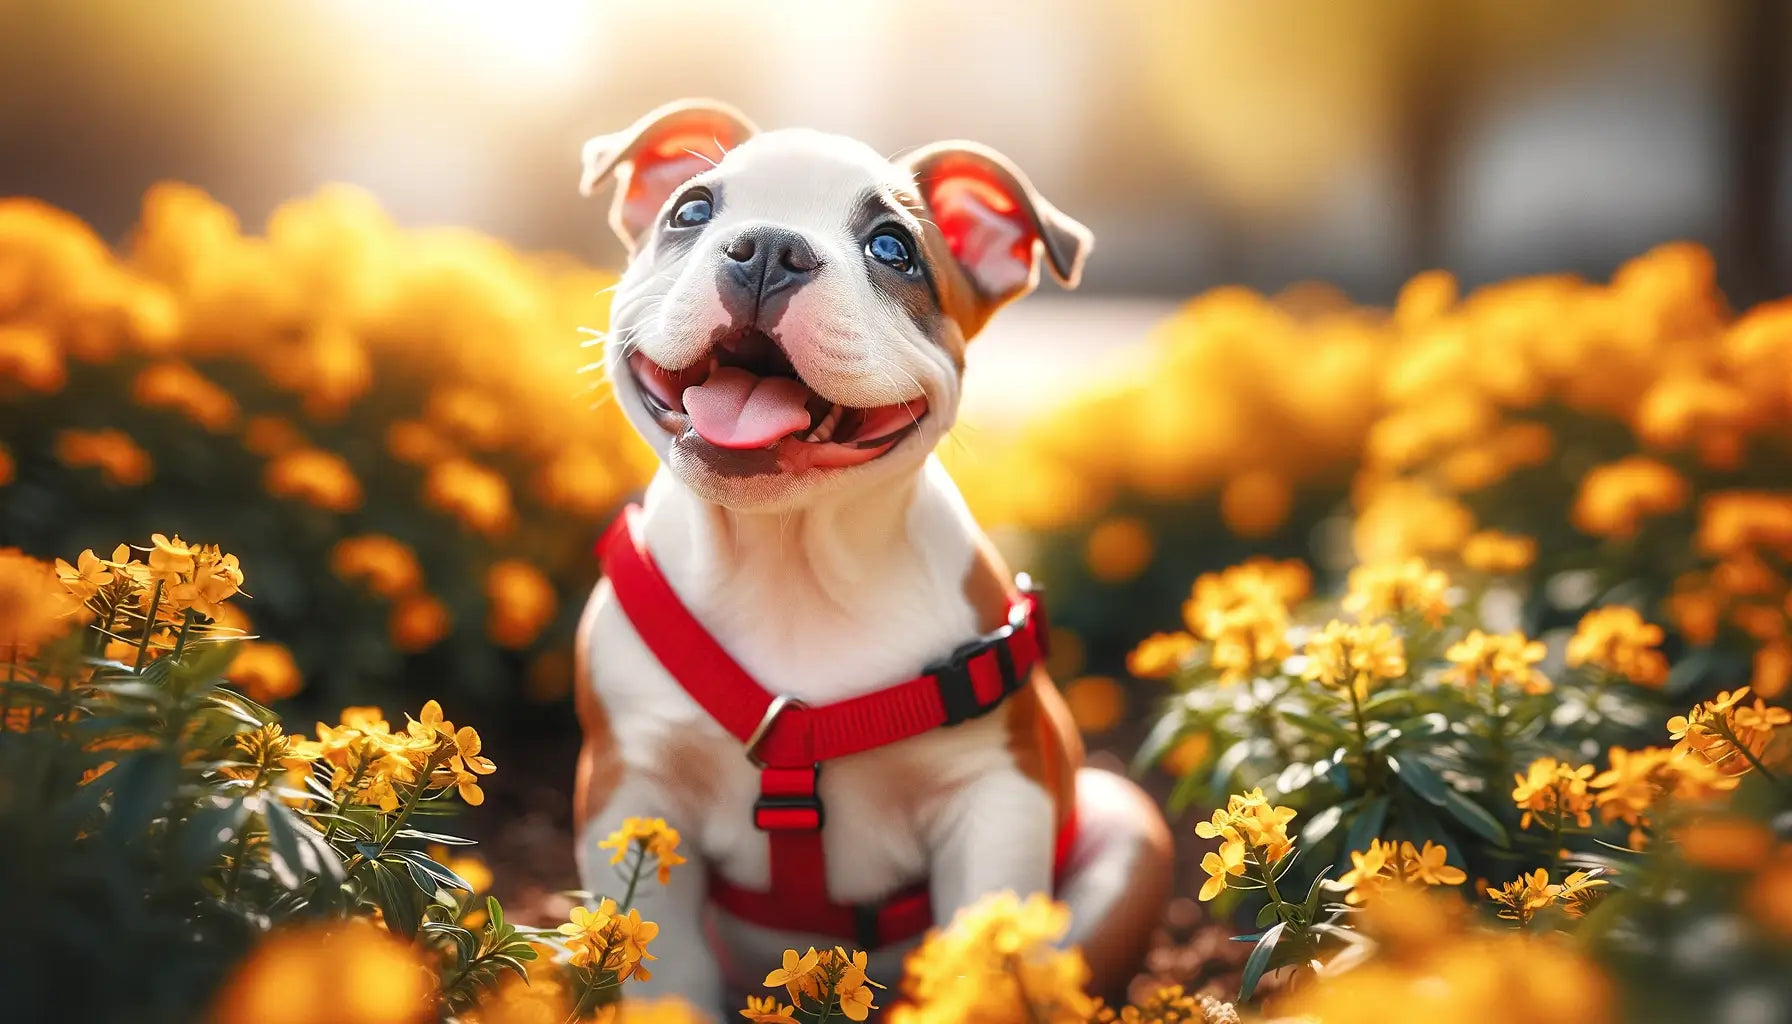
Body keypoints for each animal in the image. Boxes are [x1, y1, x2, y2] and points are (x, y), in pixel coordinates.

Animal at [573, 99, 1175, 1011]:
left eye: (893, 248)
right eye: (691, 210)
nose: (768, 248)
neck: (787, 559)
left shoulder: (995, 798)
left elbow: (982, 951)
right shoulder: (630, 792)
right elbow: (668, 973)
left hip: (1127, 832)